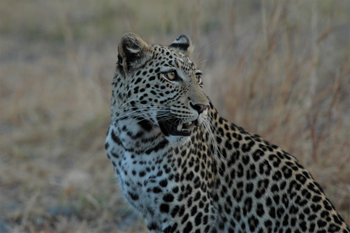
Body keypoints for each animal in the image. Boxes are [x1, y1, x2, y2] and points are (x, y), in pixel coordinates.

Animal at [104, 33, 350, 233]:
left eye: (198, 77)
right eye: (171, 76)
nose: (202, 106)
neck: (134, 140)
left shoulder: (191, 212)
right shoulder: (153, 214)